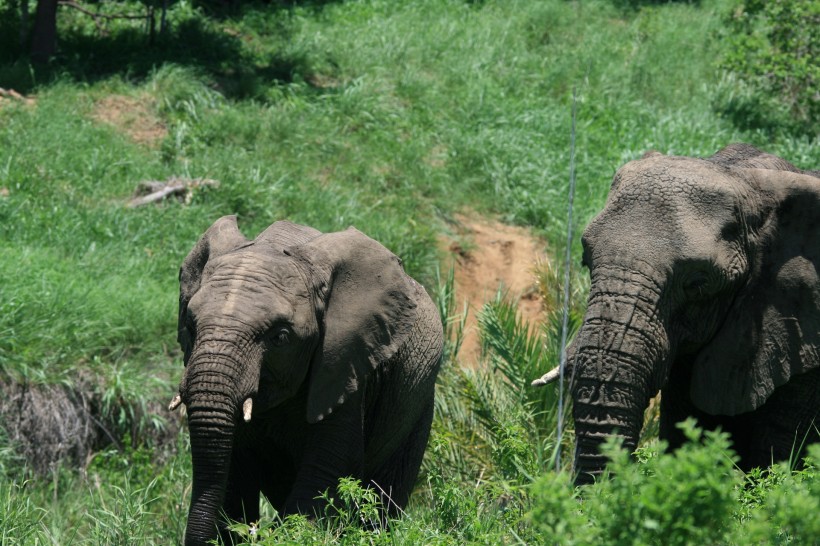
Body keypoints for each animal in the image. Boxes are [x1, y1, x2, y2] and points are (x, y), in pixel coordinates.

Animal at [169, 215, 446, 540]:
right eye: (190, 325)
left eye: (280, 337)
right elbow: (234, 476)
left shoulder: (347, 364)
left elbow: (327, 468)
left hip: (419, 406)